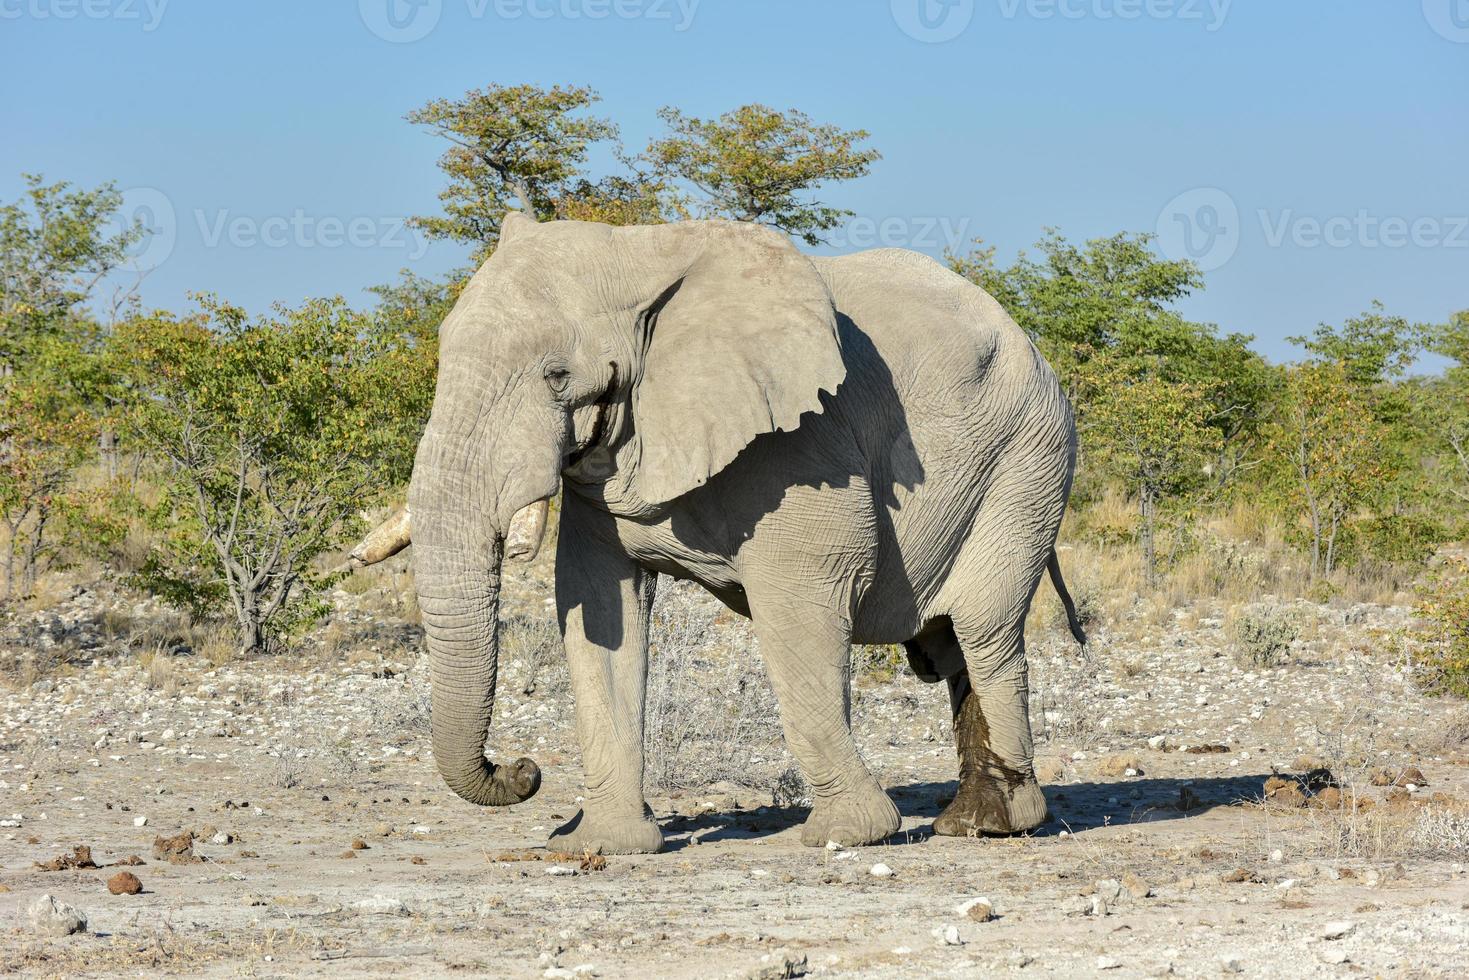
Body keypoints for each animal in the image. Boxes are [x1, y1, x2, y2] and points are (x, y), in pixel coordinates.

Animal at [359, 213, 1087, 852]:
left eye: (557, 375)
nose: (524, 770)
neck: (640, 253)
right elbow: (598, 609)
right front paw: (598, 846)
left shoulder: (803, 443)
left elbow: (804, 599)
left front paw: (848, 835)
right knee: (951, 644)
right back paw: (975, 822)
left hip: (1030, 457)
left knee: (982, 629)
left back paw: (994, 824)